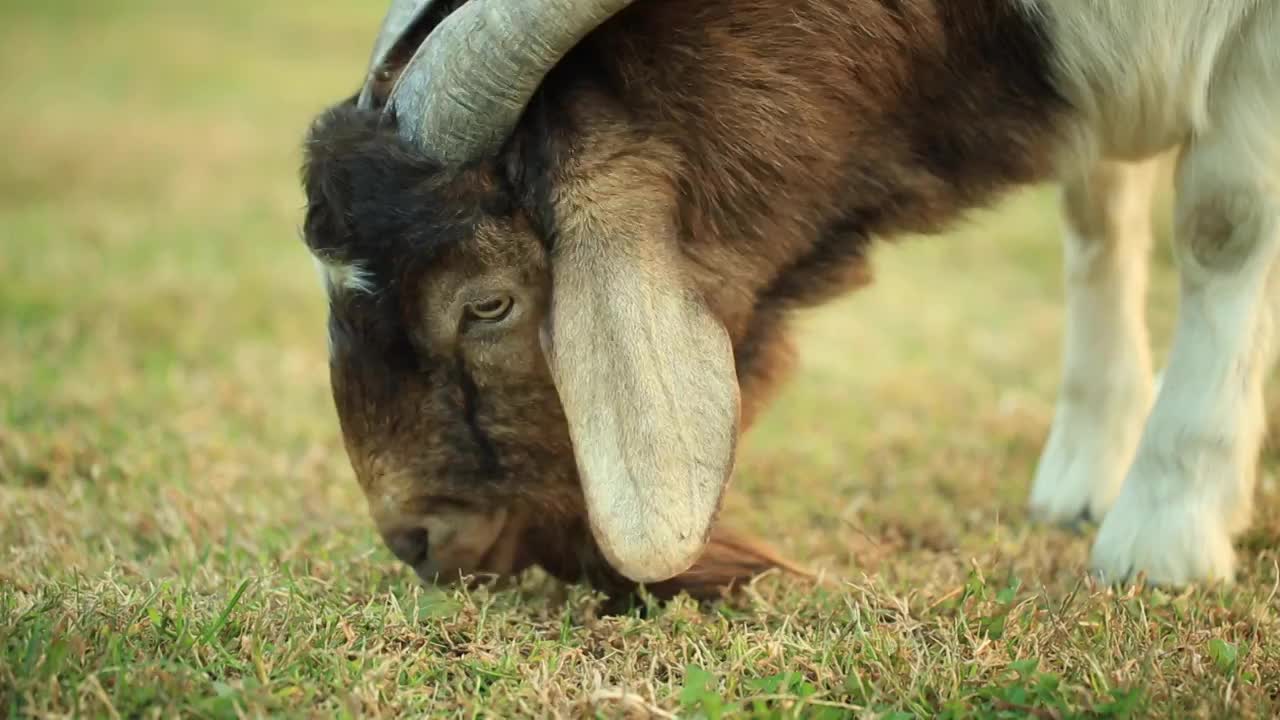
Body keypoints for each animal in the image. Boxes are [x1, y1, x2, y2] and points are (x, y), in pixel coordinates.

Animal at [296, 0, 1280, 597]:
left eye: (487, 304)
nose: (415, 540)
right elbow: (1098, 211)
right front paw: (1088, 473)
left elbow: (1226, 219)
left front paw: (1166, 535)